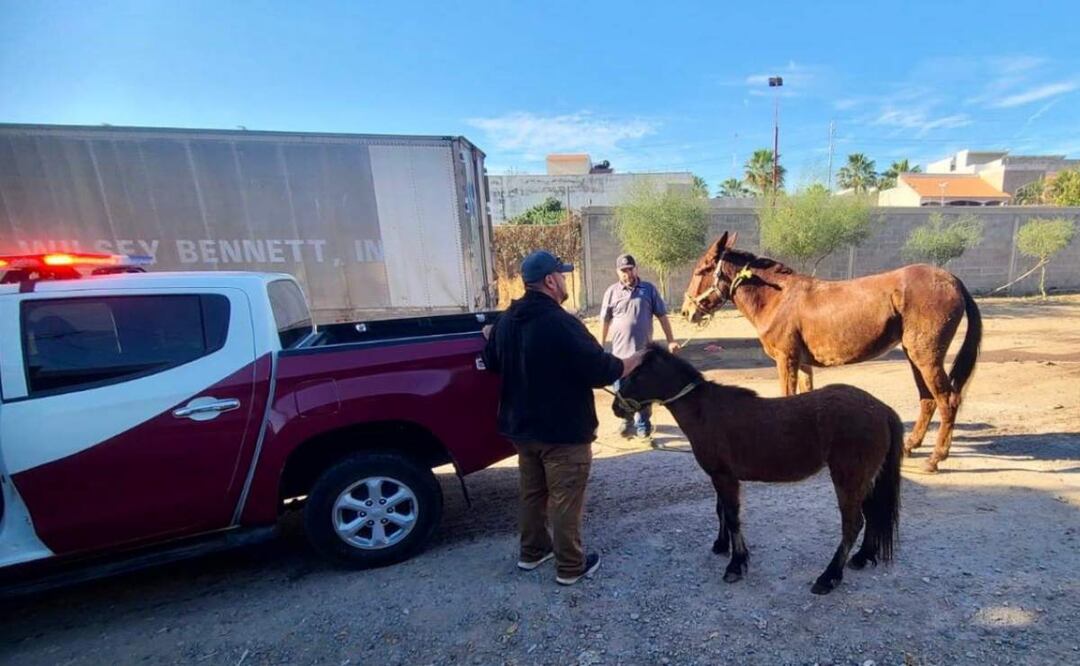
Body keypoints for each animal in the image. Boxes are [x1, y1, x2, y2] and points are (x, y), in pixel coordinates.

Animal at [612, 345, 903, 595]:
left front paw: (736, 564)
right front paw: (722, 546)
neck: (705, 411)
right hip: (864, 480)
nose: (616, 407)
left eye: (636, 374)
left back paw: (828, 577)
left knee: (853, 524)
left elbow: (732, 517)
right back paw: (862, 558)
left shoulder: (724, 477)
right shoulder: (720, 477)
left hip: (848, 479)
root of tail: (881, 409)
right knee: (872, 514)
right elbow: (721, 511)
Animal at [681, 231, 982, 474]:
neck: (778, 298)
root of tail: (952, 280)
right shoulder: (802, 364)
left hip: (926, 357)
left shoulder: (786, 360)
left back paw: (935, 458)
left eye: (701, 270)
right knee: (928, 399)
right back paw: (910, 446)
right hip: (914, 355)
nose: (686, 312)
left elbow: (787, 397)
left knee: (948, 401)